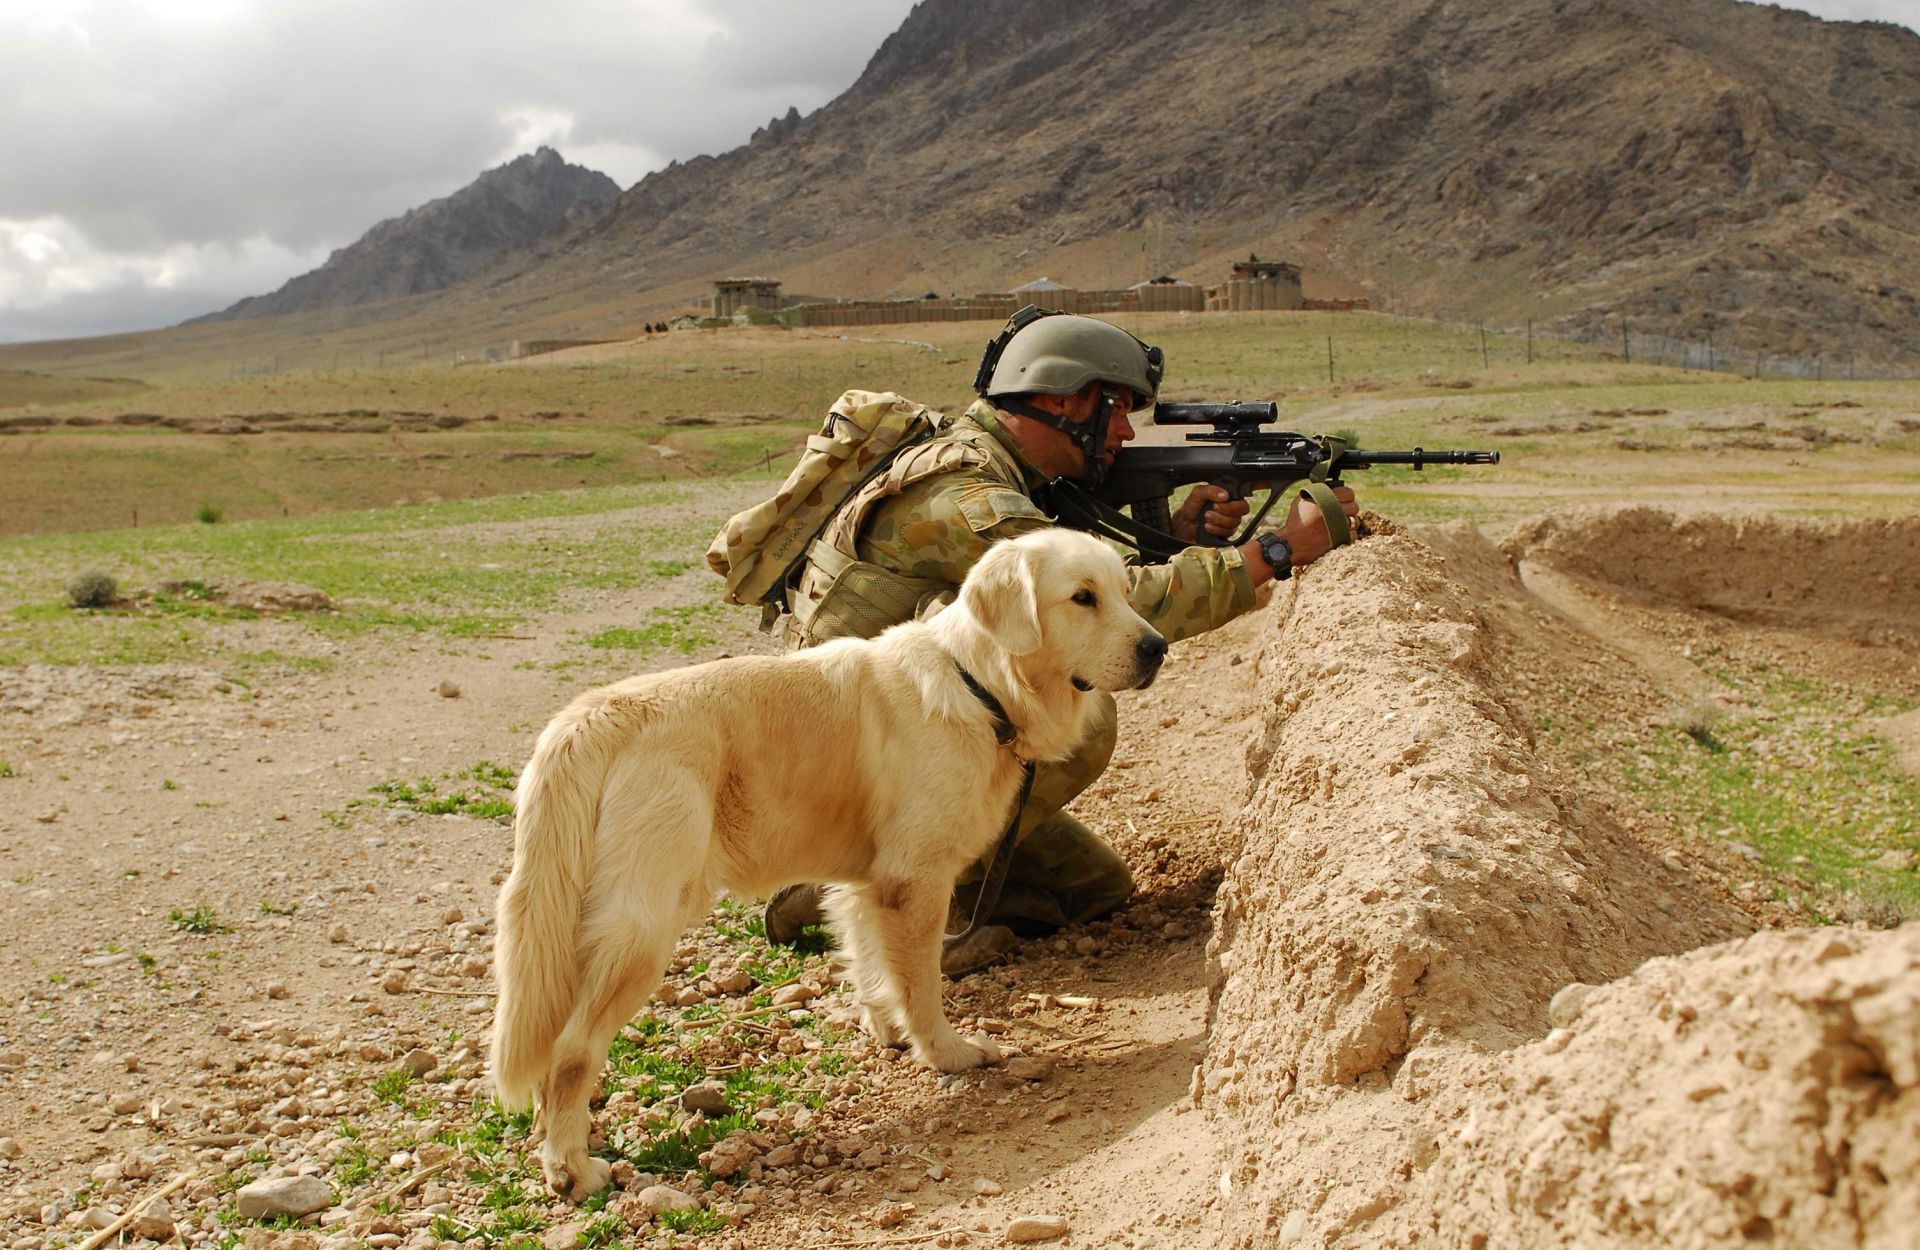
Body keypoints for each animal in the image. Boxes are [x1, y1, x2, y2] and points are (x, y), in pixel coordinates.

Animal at [487, 529, 1159, 1205]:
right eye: (1082, 597)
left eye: (1126, 590)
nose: (1157, 647)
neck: (980, 682)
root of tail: (592, 717)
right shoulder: (917, 880)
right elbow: (922, 984)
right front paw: (945, 1052)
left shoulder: (867, 885)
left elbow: (871, 967)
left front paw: (885, 1029)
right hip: (642, 928)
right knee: (571, 1052)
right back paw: (573, 1169)